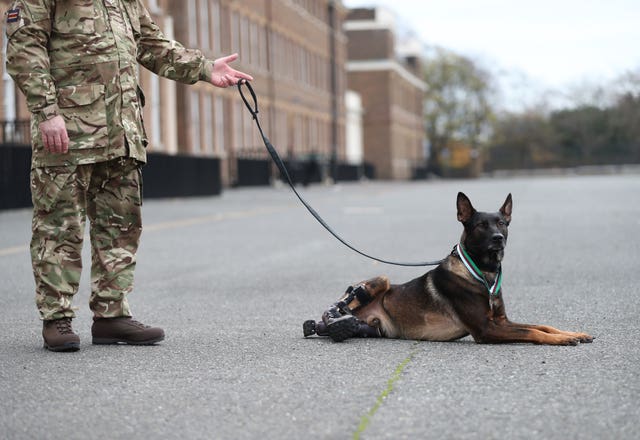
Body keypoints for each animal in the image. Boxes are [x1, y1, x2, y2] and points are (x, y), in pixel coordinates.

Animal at [302, 193, 592, 348]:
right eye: (481, 225)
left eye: (501, 223)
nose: (498, 238)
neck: (483, 273)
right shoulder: (485, 330)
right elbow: (533, 332)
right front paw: (560, 340)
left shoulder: (501, 321)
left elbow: (543, 325)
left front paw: (572, 334)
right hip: (382, 278)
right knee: (335, 308)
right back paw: (333, 319)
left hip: (374, 327)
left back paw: (342, 326)